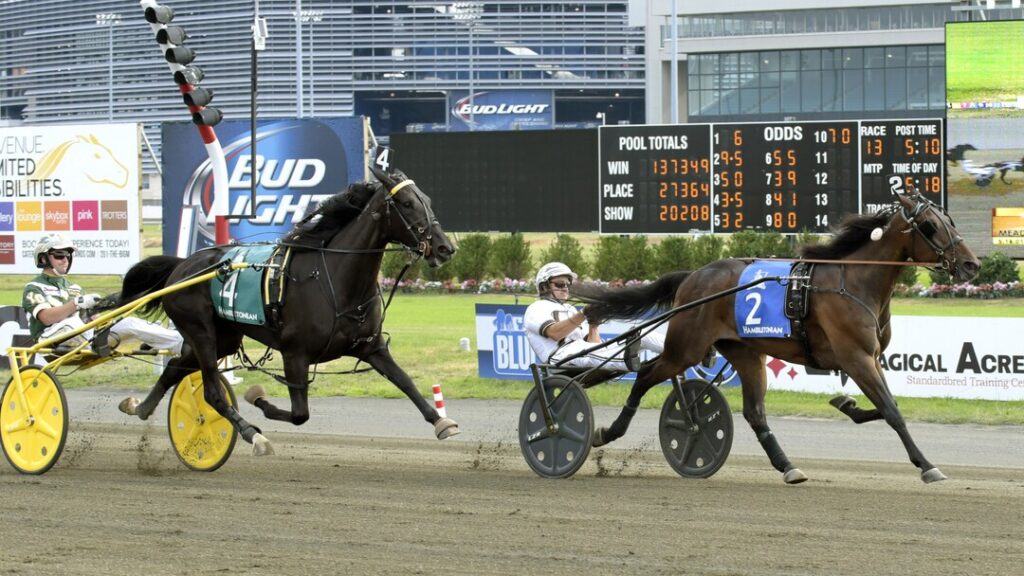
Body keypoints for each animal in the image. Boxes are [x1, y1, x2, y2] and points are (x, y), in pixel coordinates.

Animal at [116, 165, 458, 456]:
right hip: (201, 332)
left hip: (223, 336)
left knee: (176, 367)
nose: (445, 248)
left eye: (427, 200)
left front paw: (442, 421)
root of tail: (182, 266)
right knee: (212, 393)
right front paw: (258, 398)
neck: (335, 279)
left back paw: (139, 407)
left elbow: (405, 380)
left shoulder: (371, 347)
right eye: (407, 203)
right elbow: (299, 414)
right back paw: (252, 434)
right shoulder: (295, 354)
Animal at [571, 185, 979, 484]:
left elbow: (883, 406)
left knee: (755, 413)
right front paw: (927, 465)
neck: (854, 281)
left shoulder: (871, 358)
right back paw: (607, 431)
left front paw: (846, 403)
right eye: (930, 225)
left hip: (745, 353)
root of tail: (693, 276)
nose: (971, 264)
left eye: (948, 219)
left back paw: (787, 466)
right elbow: (892, 411)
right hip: (686, 347)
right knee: (644, 375)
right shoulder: (856, 357)